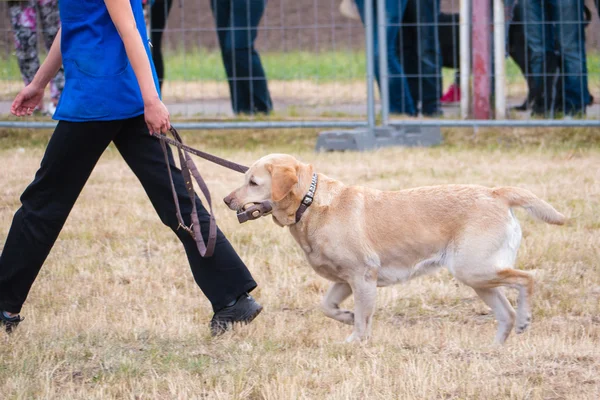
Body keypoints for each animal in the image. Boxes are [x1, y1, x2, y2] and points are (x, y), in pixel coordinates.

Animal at [223, 155, 564, 342]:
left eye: (253, 182)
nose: (226, 200)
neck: (311, 202)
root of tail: (496, 193)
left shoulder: (363, 278)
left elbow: (363, 319)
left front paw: (355, 339)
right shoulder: (344, 280)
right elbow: (328, 307)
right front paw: (346, 316)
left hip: (474, 269)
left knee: (527, 279)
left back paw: (525, 319)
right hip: (478, 278)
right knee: (505, 314)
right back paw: (492, 349)